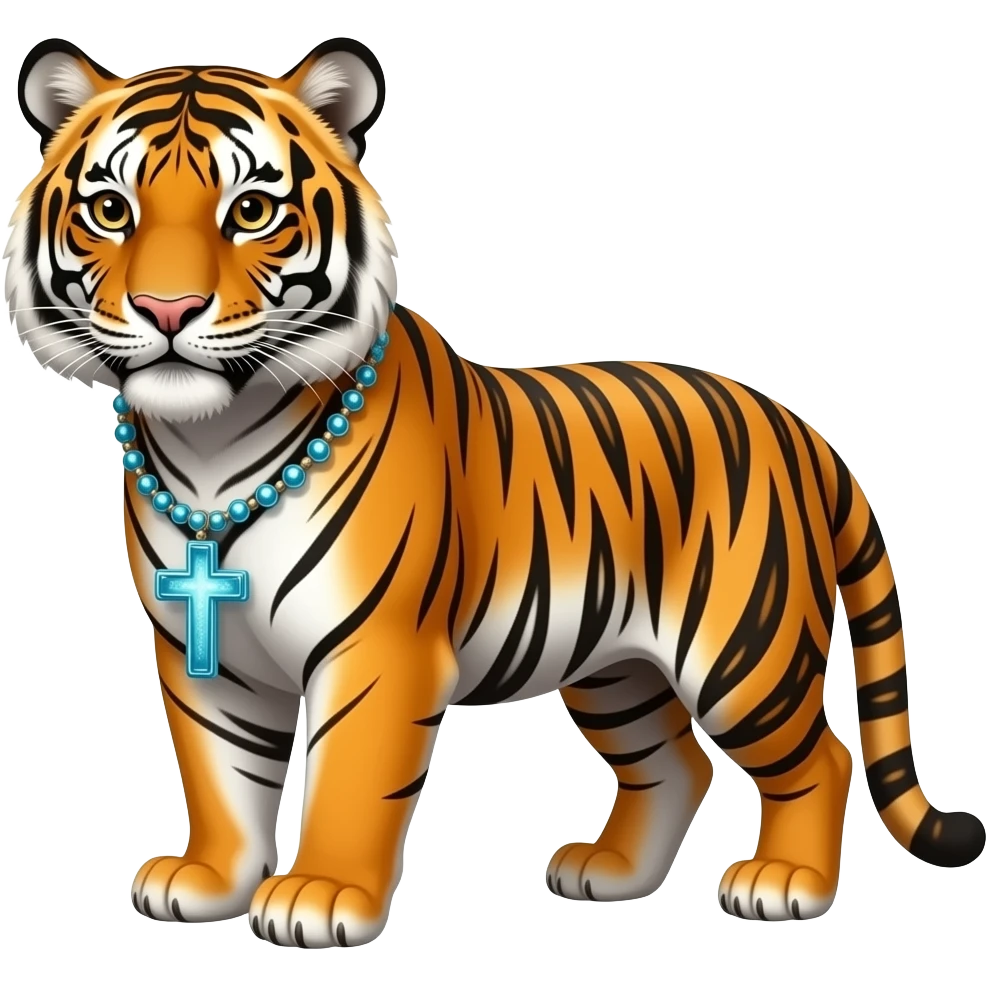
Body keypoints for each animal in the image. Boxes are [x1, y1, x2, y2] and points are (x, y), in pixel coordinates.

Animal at [4, 34, 982, 949]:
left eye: (250, 210)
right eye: (110, 210)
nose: (167, 311)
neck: (207, 446)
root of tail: (801, 429)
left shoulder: (378, 649)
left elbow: (350, 778)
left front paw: (321, 894)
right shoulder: (202, 647)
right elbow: (221, 777)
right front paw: (208, 880)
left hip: (744, 651)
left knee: (821, 755)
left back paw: (784, 883)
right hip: (615, 665)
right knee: (675, 762)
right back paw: (610, 872)